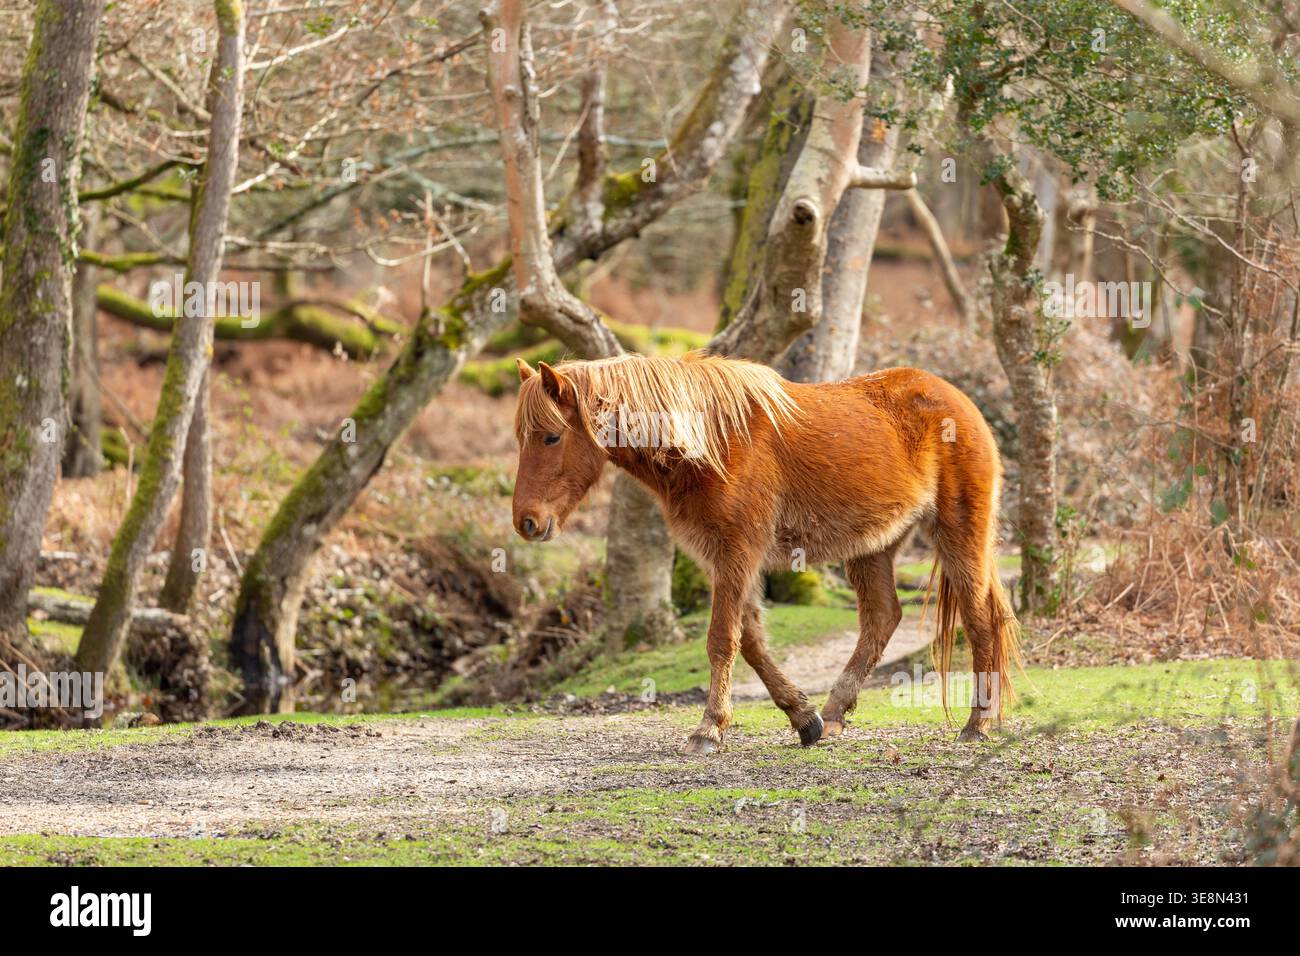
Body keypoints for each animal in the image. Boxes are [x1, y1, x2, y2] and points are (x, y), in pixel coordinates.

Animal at [511, 351, 1019, 754]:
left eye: (552, 436)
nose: (526, 522)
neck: (713, 443)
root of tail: (959, 402)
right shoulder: (726, 559)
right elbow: (751, 640)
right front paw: (804, 718)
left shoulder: (738, 551)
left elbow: (722, 639)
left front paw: (708, 730)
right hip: (874, 545)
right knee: (882, 618)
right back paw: (835, 714)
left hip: (959, 533)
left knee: (979, 618)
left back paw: (978, 723)